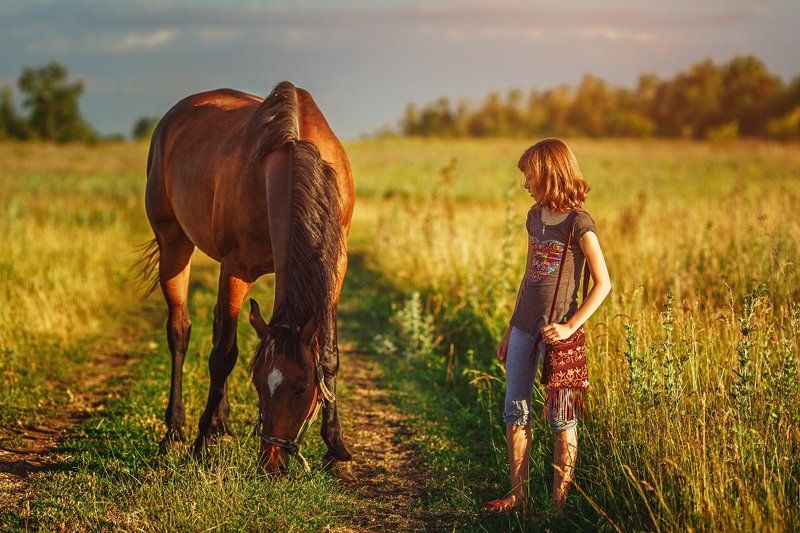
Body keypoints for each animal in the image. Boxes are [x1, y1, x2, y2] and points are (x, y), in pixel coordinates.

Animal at [141, 81, 354, 476]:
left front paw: (337, 450)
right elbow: (224, 355)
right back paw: (175, 432)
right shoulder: (236, 268)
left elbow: (330, 355)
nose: (272, 462)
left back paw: (221, 424)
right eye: (257, 383)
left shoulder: (336, 264)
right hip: (173, 243)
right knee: (180, 331)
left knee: (215, 323)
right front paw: (200, 443)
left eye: (302, 388)